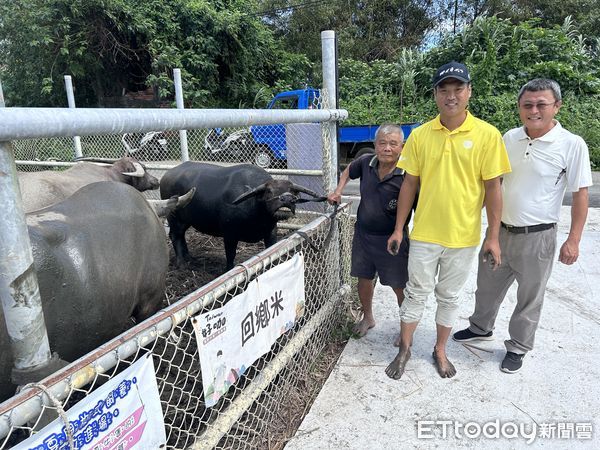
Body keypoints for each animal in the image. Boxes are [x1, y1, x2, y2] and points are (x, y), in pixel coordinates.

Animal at [157, 163, 322, 270]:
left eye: (293, 191)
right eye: (269, 191)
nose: (287, 199)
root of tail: (166, 176)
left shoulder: (271, 231)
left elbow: (271, 250)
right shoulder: (230, 234)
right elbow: (231, 255)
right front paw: (229, 269)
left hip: (187, 221)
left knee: (182, 235)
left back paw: (189, 257)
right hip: (174, 218)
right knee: (175, 235)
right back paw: (181, 263)